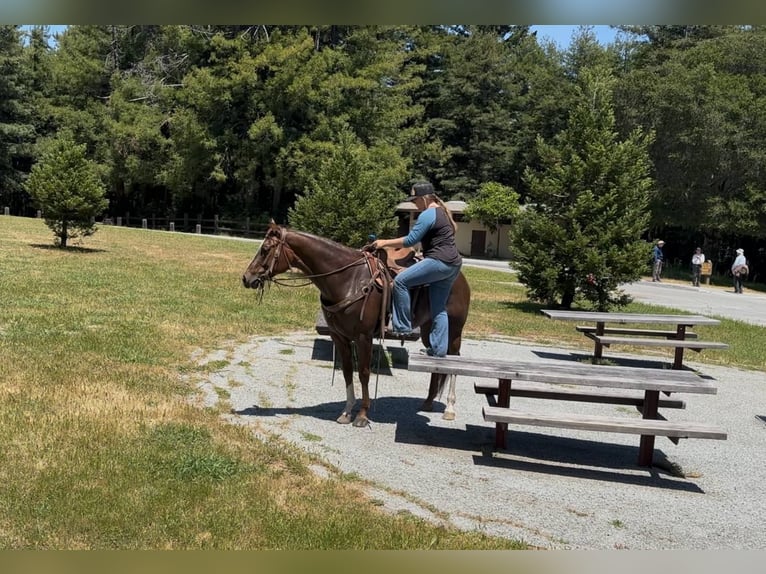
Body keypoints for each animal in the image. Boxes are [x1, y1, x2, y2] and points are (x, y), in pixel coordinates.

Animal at [241, 222, 471, 427]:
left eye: (265, 249)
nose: (246, 278)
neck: (347, 279)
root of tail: (460, 278)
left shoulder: (363, 337)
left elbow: (364, 372)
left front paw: (362, 415)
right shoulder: (339, 337)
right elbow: (347, 371)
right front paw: (346, 412)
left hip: (454, 331)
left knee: (455, 360)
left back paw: (450, 408)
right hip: (427, 329)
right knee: (437, 362)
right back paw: (428, 402)